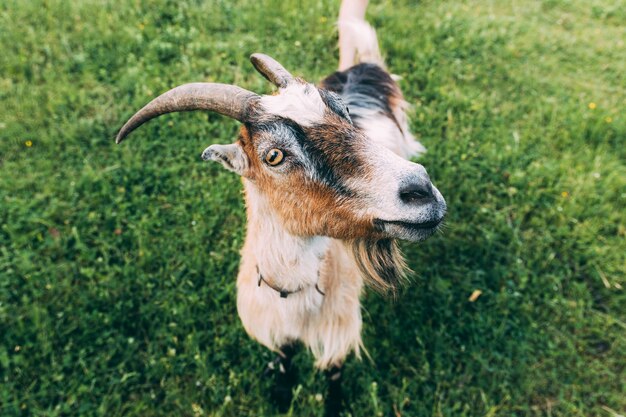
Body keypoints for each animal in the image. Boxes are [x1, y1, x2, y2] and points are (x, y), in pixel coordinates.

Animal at [113, 1, 444, 414]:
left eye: (344, 114)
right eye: (273, 155)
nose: (422, 191)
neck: (294, 295)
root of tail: (362, 66)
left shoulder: (337, 331)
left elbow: (333, 374)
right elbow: (284, 360)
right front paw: (281, 394)